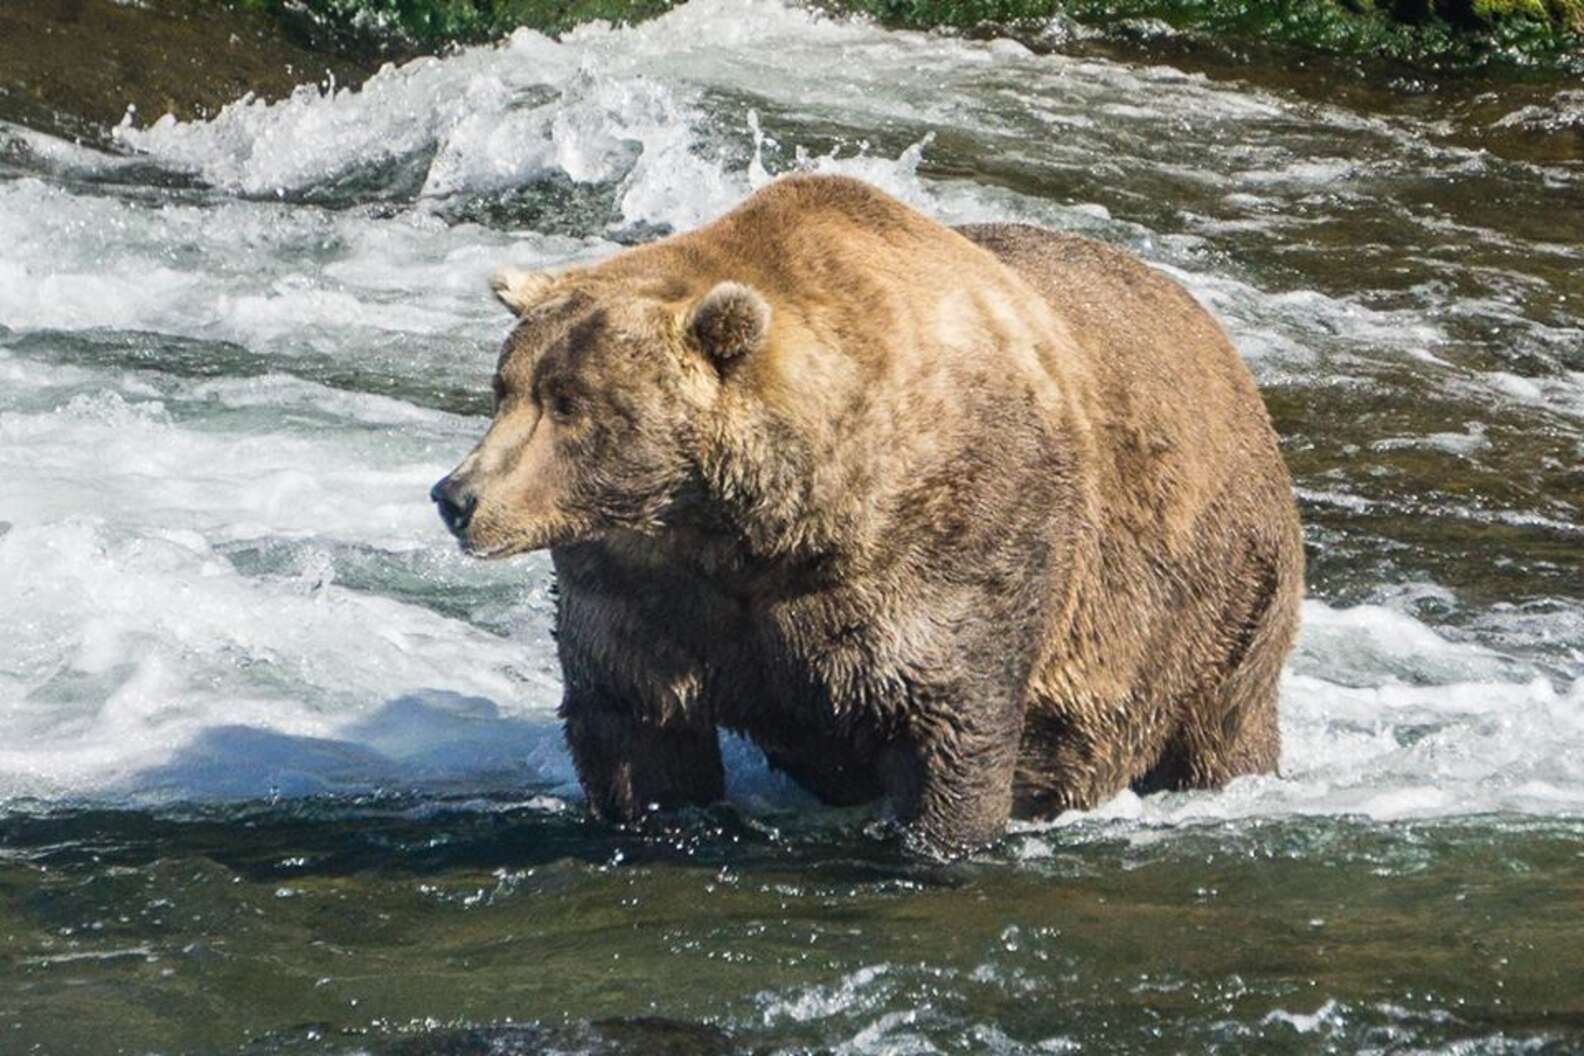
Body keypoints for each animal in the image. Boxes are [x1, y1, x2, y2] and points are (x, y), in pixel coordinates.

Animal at [434, 173, 1298, 861]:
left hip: (1218, 600)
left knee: (1220, 724)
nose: (457, 497)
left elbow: (953, 719)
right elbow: (633, 719)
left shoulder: (957, 543)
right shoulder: (647, 582)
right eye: (506, 386)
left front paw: (938, 842)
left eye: (570, 403)